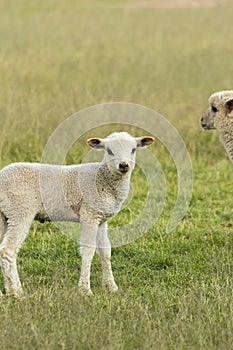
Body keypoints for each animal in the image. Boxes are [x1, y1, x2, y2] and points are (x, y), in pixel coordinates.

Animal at [0, 131, 155, 296]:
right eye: (109, 151)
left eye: (133, 149)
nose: (124, 165)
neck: (104, 180)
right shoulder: (90, 214)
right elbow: (88, 251)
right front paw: (85, 289)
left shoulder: (102, 218)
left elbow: (105, 250)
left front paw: (111, 286)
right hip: (20, 209)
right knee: (8, 250)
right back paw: (17, 292)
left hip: (5, 214)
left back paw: (6, 292)